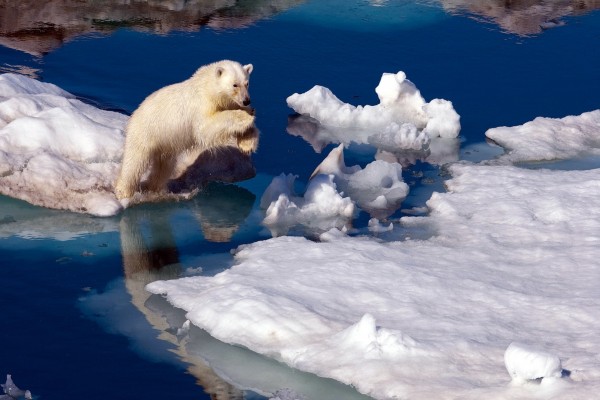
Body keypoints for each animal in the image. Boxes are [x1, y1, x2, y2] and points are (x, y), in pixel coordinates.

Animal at [113, 60, 258, 200]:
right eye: (235, 85)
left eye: (247, 83)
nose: (246, 100)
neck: (207, 86)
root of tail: (134, 115)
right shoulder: (201, 104)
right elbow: (206, 128)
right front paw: (245, 116)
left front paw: (247, 144)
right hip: (145, 133)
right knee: (134, 163)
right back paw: (123, 192)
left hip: (165, 144)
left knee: (163, 167)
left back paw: (155, 188)